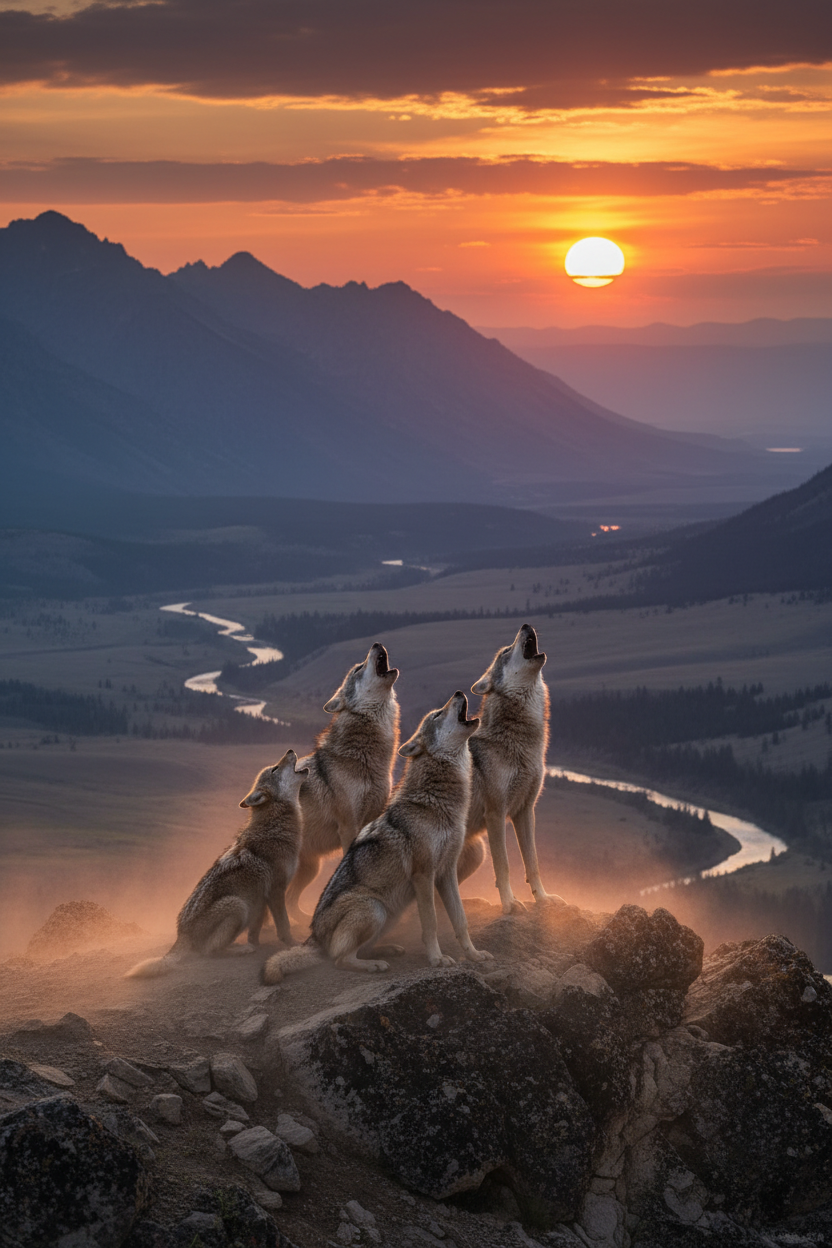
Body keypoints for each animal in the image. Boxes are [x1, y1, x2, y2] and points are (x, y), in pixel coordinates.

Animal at [125, 750, 308, 979]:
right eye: (275, 768)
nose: (290, 751)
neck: (276, 825)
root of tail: (181, 934)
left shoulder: (261, 898)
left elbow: (255, 931)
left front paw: (257, 943)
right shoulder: (275, 891)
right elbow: (284, 926)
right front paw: (292, 944)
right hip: (237, 905)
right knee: (209, 952)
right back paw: (240, 949)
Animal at [261, 691, 494, 981]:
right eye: (438, 714)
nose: (459, 693)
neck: (436, 802)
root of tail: (314, 938)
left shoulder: (447, 872)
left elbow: (460, 921)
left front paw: (473, 954)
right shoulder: (423, 874)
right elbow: (431, 923)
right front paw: (437, 959)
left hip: (388, 915)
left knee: (360, 949)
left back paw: (388, 950)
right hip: (375, 909)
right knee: (339, 959)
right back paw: (374, 964)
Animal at [284, 642, 400, 922]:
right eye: (358, 669)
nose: (376, 644)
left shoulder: (374, 816)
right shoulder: (350, 825)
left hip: (311, 868)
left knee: (291, 902)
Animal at [458, 623, 564, 914]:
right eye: (506, 651)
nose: (525, 625)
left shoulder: (525, 811)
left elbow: (533, 862)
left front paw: (544, 899)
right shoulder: (496, 814)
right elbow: (503, 865)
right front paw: (509, 904)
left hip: (475, 853)